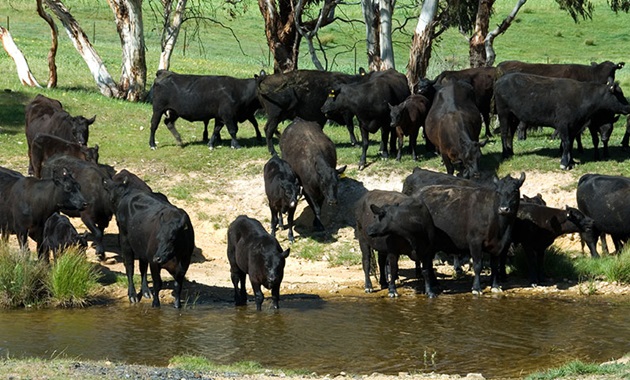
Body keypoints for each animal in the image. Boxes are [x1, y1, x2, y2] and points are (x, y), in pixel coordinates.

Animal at [107, 177, 195, 308]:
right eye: (158, 237)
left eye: (172, 238)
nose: (157, 258)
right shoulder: (154, 264)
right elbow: (157, 284)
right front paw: (155, 304)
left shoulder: (184, 264)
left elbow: (178, 286)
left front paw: (177, 306)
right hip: (125, 241)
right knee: (130, 268)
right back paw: (132, 295)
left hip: (141, 247)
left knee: (142, 268)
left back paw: (145, 291)